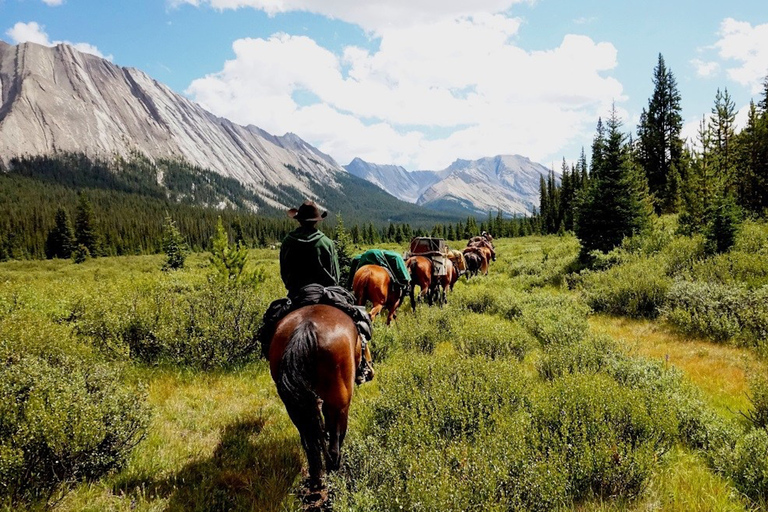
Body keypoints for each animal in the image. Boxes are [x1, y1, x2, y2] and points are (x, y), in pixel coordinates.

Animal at [268, 304, 370, 488]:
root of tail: (306, 328)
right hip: (340, 402)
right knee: (335, 443)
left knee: (308, 440)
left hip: (295, 406)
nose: (369, 372)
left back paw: (316, 475)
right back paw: (333, 472)